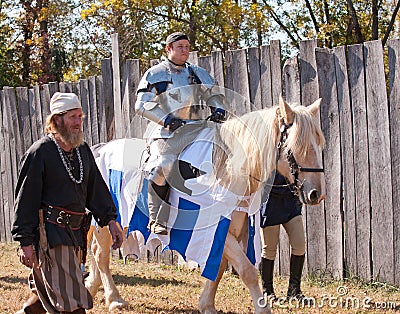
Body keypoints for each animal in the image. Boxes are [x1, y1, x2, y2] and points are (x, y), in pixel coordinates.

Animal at [84, 96, 324, 314]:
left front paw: (207, 305)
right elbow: (246, 270)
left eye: (318, 144)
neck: (227, 168)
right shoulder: (218, 231)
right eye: (296, 146)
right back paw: (114, 299)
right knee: (101, 255)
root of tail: (100, 149)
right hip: (107, 222)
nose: (316, 194)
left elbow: (218, 268)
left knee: (96, 252)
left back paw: (91, 287)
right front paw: (262, 308)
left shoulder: (230, 230)